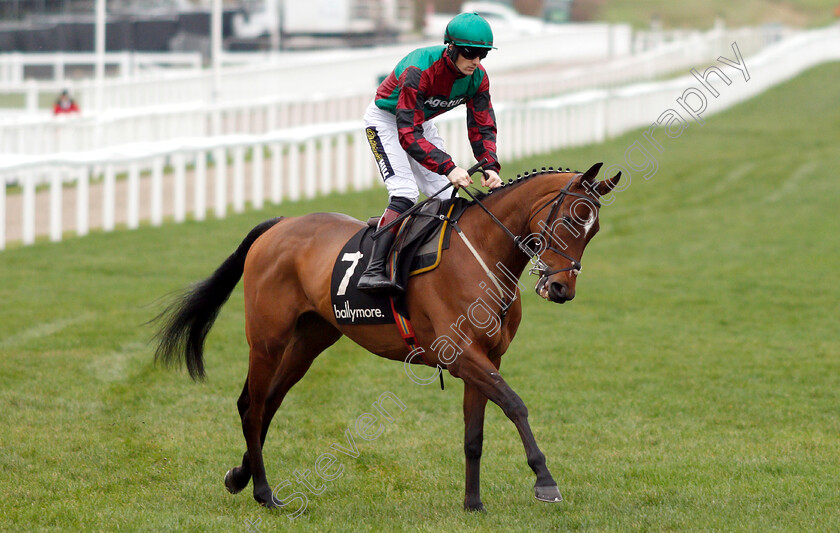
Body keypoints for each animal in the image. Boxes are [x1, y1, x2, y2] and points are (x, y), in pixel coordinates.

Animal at [154, 161, 620, 512]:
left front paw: (473, 503)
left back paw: (240, 476)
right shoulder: (460, 354)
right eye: (572, 219)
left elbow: (474, 434)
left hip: (308, 342)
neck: (483, 255)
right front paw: (544, 480)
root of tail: (280, 224)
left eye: (594, 231)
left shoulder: (487, 357)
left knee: (267, 402)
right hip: (268, 340)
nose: (560, 289)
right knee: (252, 407)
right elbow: (516, 405)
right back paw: (265, 493)